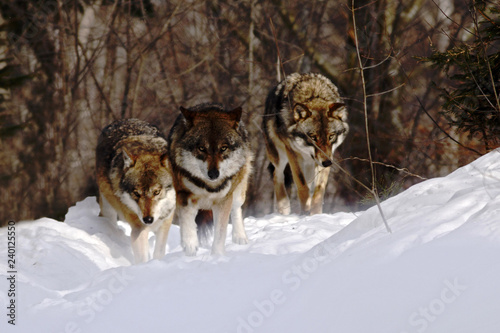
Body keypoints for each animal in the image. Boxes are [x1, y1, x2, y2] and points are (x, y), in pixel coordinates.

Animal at [95, 118, 176, 264]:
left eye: (156, 192)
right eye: (136, 193)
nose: (148, 219)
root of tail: (123, 120)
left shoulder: (165, 223)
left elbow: (159, 252)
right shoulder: (139, 229)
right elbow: (142, 258)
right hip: (108, 209)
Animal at [168, 102, 254, 255]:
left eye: (223, 148)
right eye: (202, 148)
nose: (213, 174)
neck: (208, 187)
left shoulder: (223, 201)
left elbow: (220, 234)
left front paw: (217, 256)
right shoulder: (184, 196)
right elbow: (188, 225)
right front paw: (190, 248)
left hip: (238, 192)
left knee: (236, 208)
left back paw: (240, 237)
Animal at [264, 72, 350, 215]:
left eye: (331, 136)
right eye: (313, 137)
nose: (327, 163)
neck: (313, 94)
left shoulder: (328, 156)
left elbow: (319, 190)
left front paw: (315, 214)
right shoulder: (292, 153)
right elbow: (301, 185)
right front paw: (305, 211)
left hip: (310, 165)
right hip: (279, 156)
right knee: (277, 175)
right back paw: (284, 207)